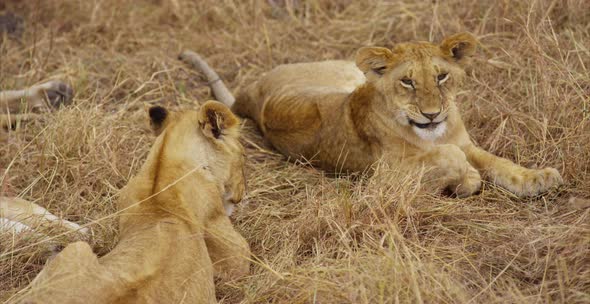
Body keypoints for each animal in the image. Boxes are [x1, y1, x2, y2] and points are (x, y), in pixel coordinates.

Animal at [179, 32, 564, 197]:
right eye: (407, 81)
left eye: (441, 76)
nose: (432, 115)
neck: (432, 134)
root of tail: (251, 96)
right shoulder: (384, 179)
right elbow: (451, 159)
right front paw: (465, 180)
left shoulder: (467, 144)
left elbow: (498, 163)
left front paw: (537, 179)